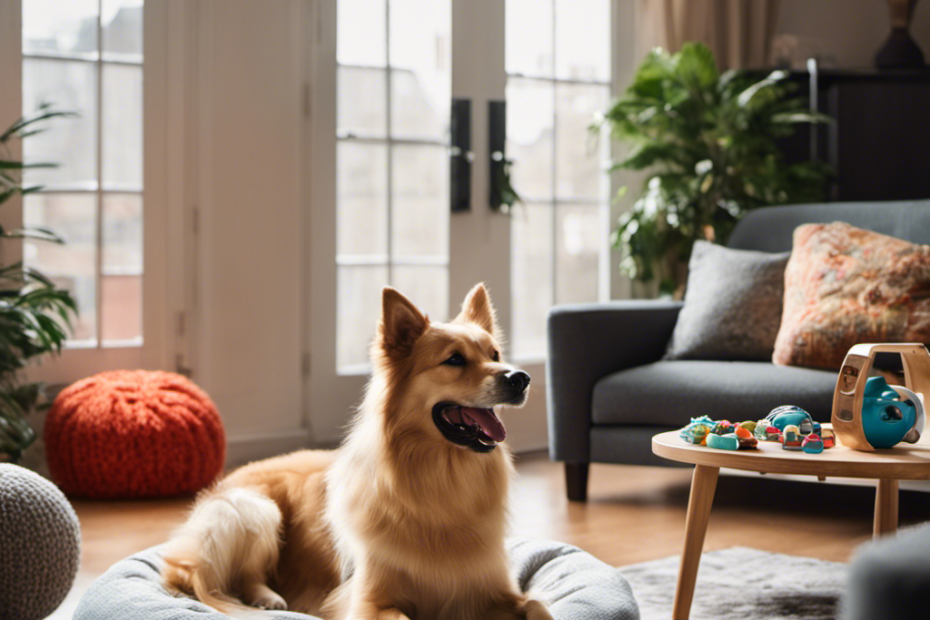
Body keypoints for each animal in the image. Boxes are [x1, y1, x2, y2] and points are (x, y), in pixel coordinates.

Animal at [161, 284, 552, 620]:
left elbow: (538, 605)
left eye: (495, 354)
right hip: (256, 510)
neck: (443, 481)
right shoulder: (367, 601)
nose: (520, 378)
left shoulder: (497, 590)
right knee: (221, 575)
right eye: (454, 360)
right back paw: (267, 598)